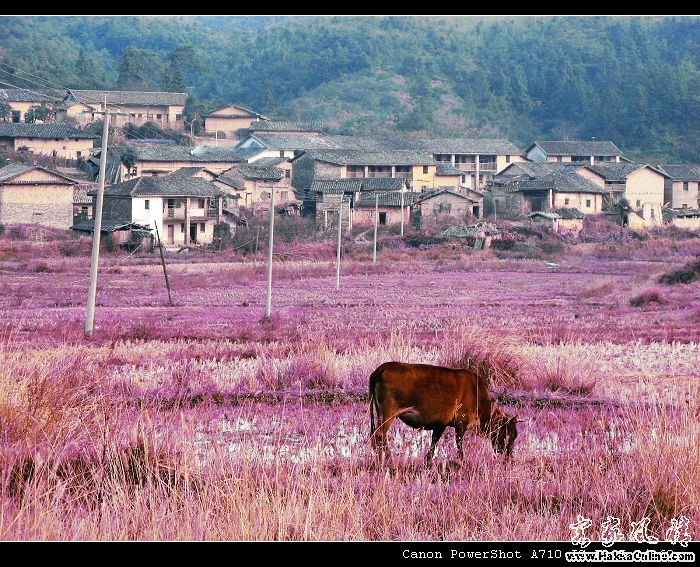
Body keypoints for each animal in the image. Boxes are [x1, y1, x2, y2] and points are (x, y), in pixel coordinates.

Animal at [370, 362, 516, 464]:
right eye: (508, 434)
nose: (508, 457)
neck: (476, 393)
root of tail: (383, 367)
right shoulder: (461, 424)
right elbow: (459, 444)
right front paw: (463, 461)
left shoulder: (440, 425)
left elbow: (434, 442)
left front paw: (428, 460)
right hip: (388, 415)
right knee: (379, 435)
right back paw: (388, 458)